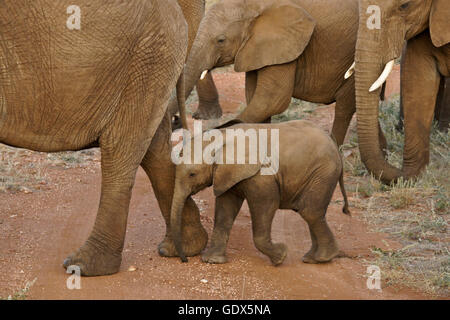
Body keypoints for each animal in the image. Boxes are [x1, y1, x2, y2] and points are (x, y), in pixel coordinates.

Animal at [171, 120, 350, 264]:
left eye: (192, 174)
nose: (184, 260)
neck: (221, 137)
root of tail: (335, 146)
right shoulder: (227, 173)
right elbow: (225, 209)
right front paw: (212, 261)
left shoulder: (262, 175)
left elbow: (266, 204)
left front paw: (280, 257)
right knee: (312, 213)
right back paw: (312, 258)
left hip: (323, 172)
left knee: (309, 211)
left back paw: (321, 258)